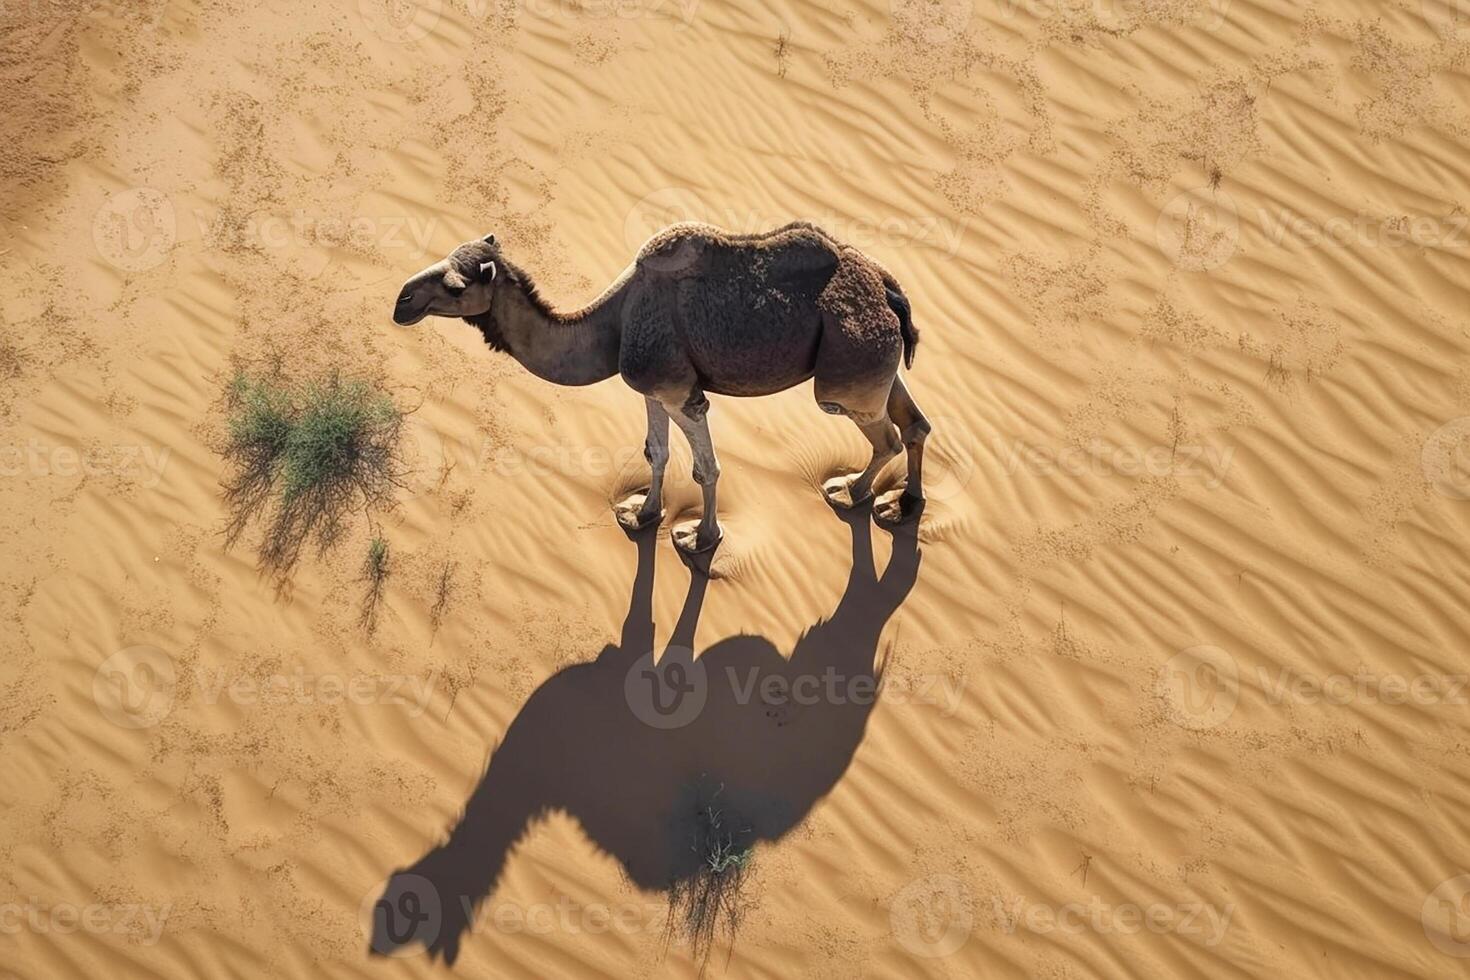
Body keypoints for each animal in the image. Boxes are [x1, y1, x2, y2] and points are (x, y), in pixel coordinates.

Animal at [393, 224, 929, 555]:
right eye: (445, 256)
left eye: (456, 286)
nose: (402, 301)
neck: (612, 322)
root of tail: (888, 287)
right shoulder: (650, 388)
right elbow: (656, 453)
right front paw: (642, 514)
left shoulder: (680, 392)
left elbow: (705, 468)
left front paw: (700, 539)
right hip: (874, 363)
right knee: (915, 424)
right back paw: (900, 505)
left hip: (847, 369)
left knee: (885, 435)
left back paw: (850, 494)